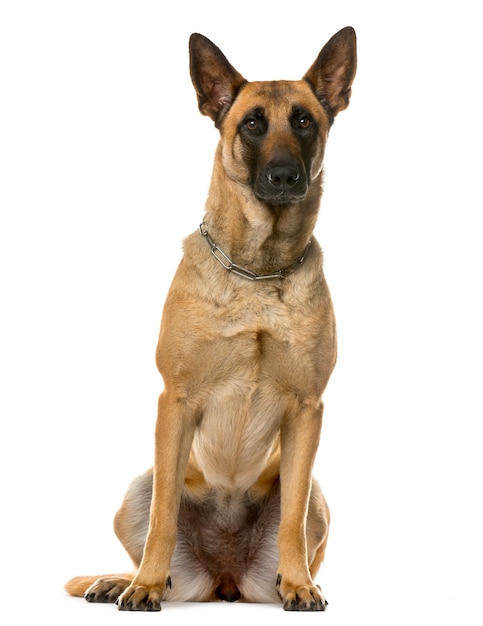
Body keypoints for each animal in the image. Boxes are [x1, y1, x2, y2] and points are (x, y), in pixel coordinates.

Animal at [65, 26, 356, 608]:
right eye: (252, 124)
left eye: (304, 121)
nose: (285, 176)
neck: (258, 272)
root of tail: (224, 577)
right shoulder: (174, 402)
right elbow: (162, 518)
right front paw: (144, 585)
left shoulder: (307, 413)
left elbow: (290, 521)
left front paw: (298, 583)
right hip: (138, 488)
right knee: (154, 528)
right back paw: (122, 581)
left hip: (316, 495)